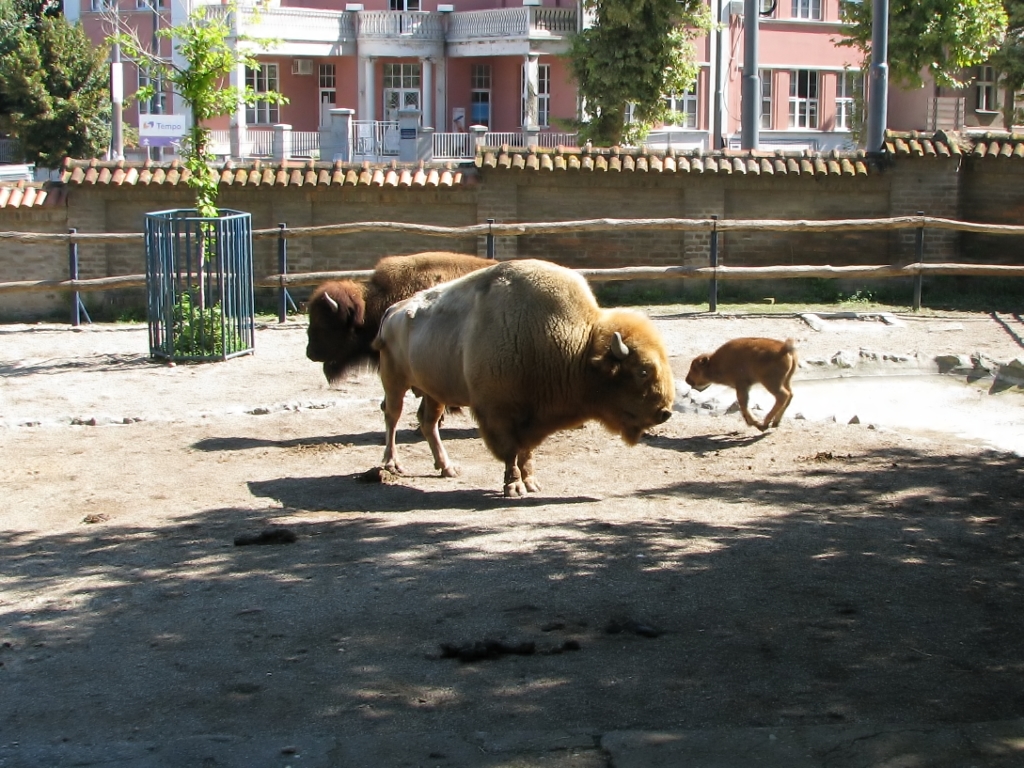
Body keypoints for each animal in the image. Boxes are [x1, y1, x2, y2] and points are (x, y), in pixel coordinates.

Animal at [372, 259, 676, 497]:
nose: (664, 413)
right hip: (394, 381)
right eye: (643, 370)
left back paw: (447, 468)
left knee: (428, 422)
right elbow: (510, 450)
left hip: (434, 391)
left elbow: (526, 450)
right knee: (392, 416)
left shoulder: (533, 418)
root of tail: (392, 311)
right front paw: (514, 486)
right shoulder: (498, 414)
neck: (579, 346)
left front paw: (532, 482)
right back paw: (391, 464)